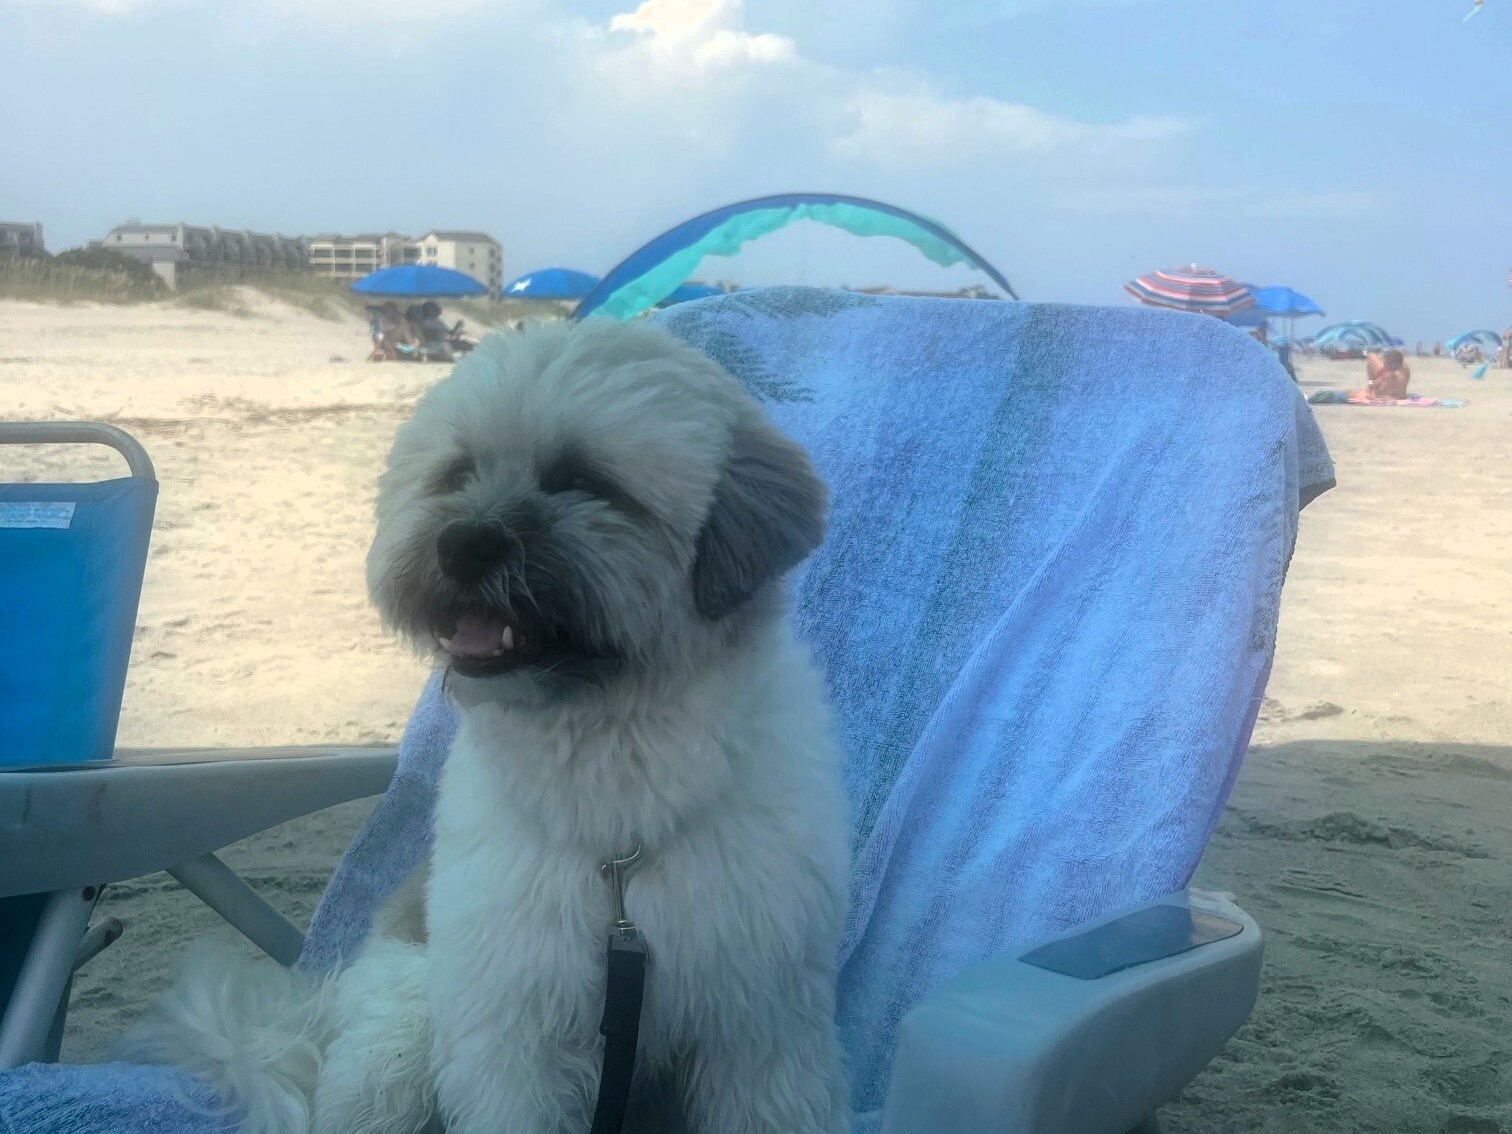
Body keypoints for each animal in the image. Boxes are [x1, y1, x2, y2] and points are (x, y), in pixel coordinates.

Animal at [123, 320, 858, 1134]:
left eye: (584, 480)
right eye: (457, 474)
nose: (464, 542)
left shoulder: (759, 1026)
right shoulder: (514, 1031)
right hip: (407, 1037)